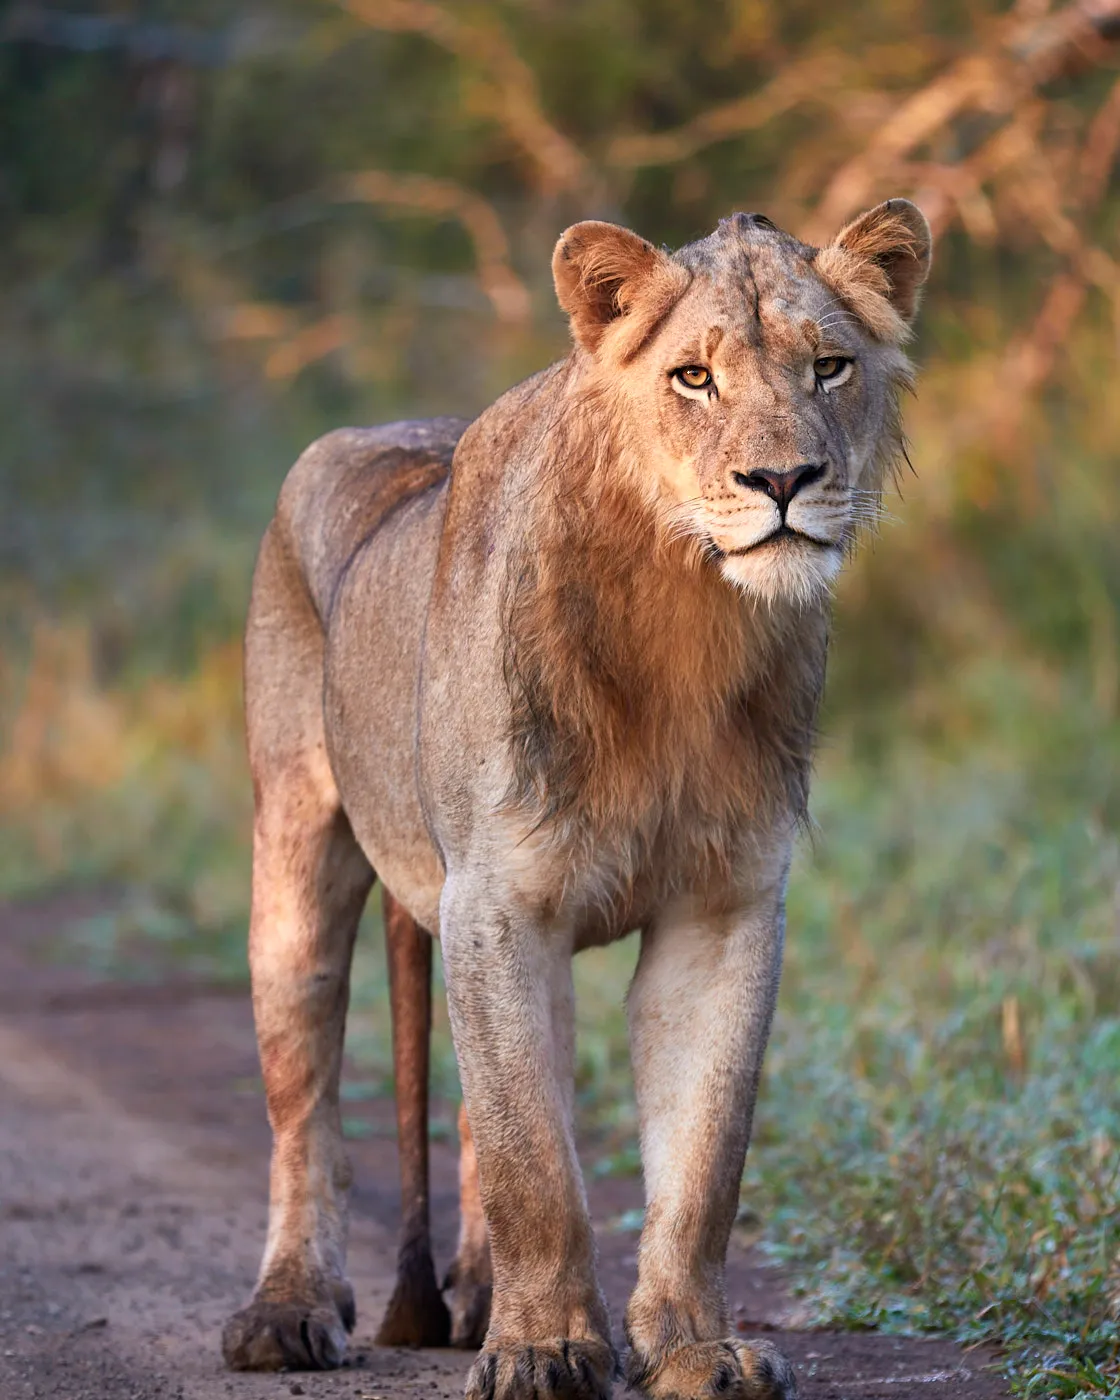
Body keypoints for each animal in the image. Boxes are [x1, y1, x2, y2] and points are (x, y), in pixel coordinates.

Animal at [221, 199, 931, 1400]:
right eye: (694, 377)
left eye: (829, 366)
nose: (784, 480)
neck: (689, 619)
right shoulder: (497, 900)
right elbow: (533, 1161)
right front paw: (546, 1348)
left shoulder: (723, 907)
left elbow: (698, 1159)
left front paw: (691, 1347)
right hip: (297, 856)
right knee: (304, 1104)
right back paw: (288, 1310)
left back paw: (470, 1296)